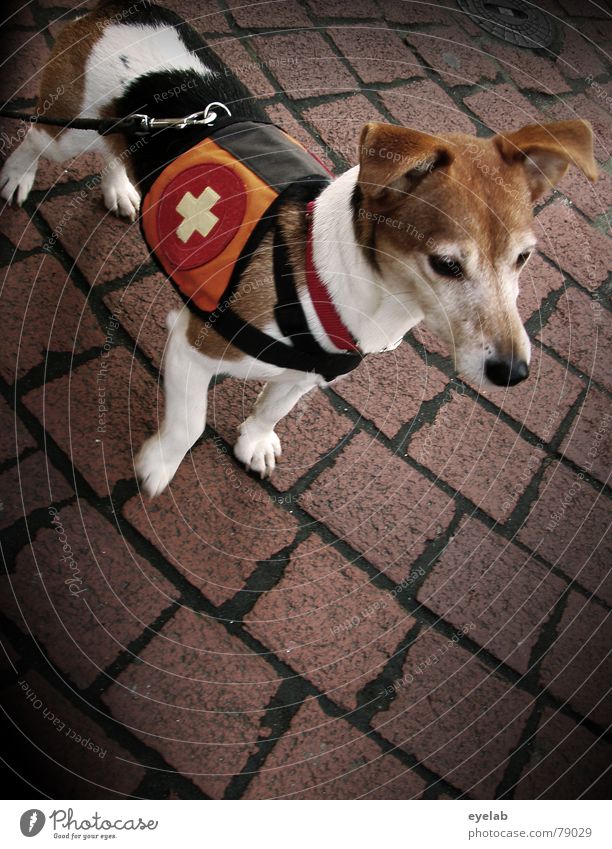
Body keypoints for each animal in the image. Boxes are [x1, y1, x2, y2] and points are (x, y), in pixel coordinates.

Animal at [0, 0, 596, 496]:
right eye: (446, 264)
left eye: (523, 258)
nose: (513, 373)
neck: (333, 278)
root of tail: (129, 7)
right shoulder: (192, 346)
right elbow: (190, 424)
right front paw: (159, 465)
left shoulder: (307, 374)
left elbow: (274, 407)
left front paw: (254, 441)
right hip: (68, 128)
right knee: (34, 141)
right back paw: (16, 179)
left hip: (118, 129)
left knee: (114, 150)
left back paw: (119, 187)